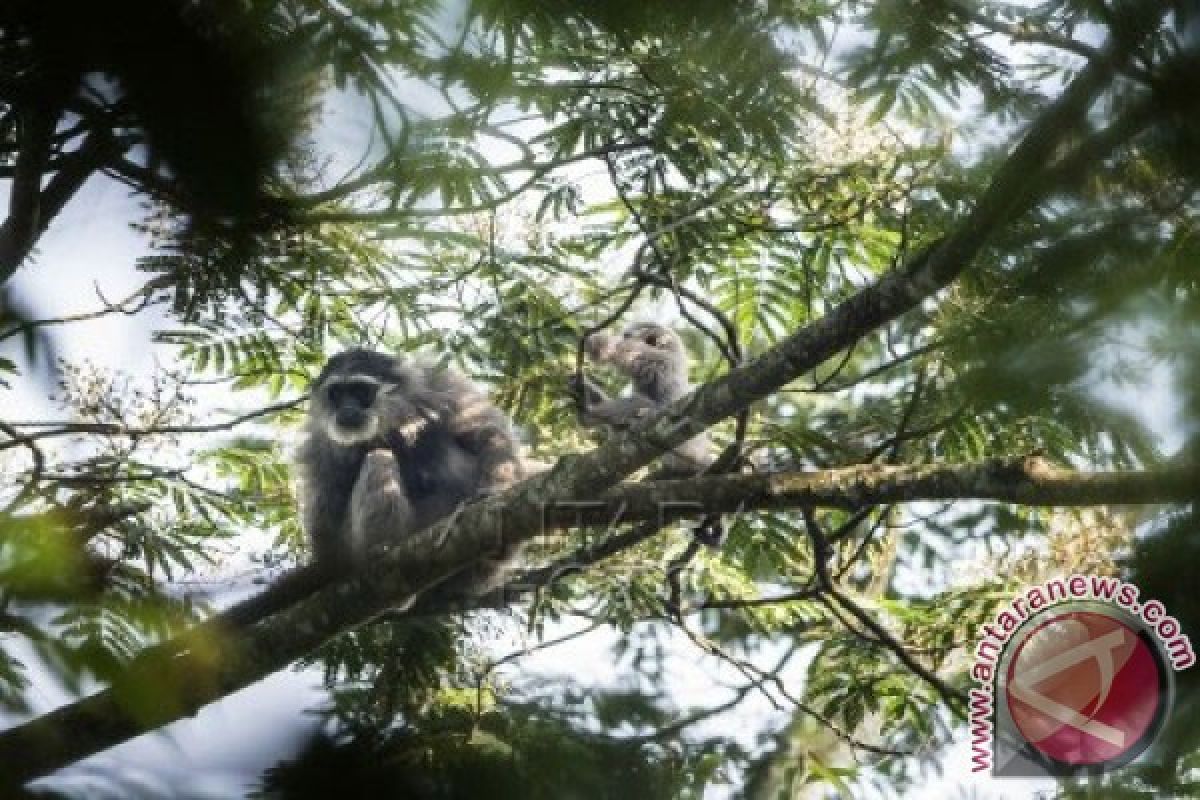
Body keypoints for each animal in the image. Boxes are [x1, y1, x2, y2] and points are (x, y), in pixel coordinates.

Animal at [295, 350, 525, 582]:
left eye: (360, 391)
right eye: (337, 394)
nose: (347, 408)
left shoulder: (438, 380)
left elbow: (486, 433)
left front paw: (493, 492)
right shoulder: (318, 438)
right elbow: (325, 537)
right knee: (379, 458)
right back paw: (382, 549)